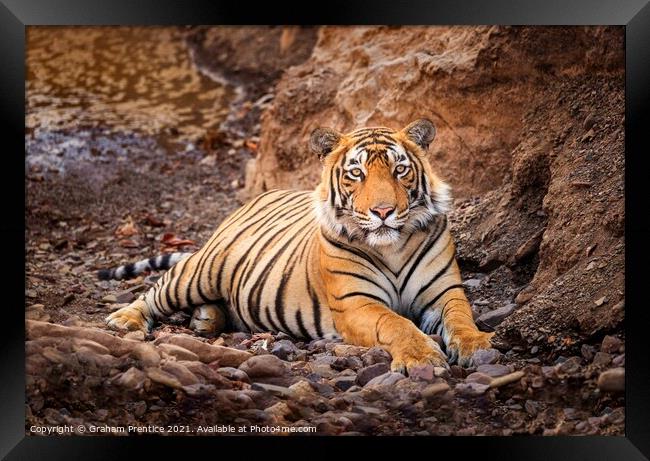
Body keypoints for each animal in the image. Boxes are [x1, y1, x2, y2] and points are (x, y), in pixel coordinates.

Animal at [104, 118, 492, 370]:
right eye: (357, 173)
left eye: (400, 170)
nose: (383, 211)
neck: (391, 247)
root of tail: (262, 194)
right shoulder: (357, 302)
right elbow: (395, 323)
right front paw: (421, 357)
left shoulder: (444, 291)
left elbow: (461, 317)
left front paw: (477, 346)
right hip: (202, 270)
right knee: (154, 293)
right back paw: (125, 320)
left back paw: (205, 319)